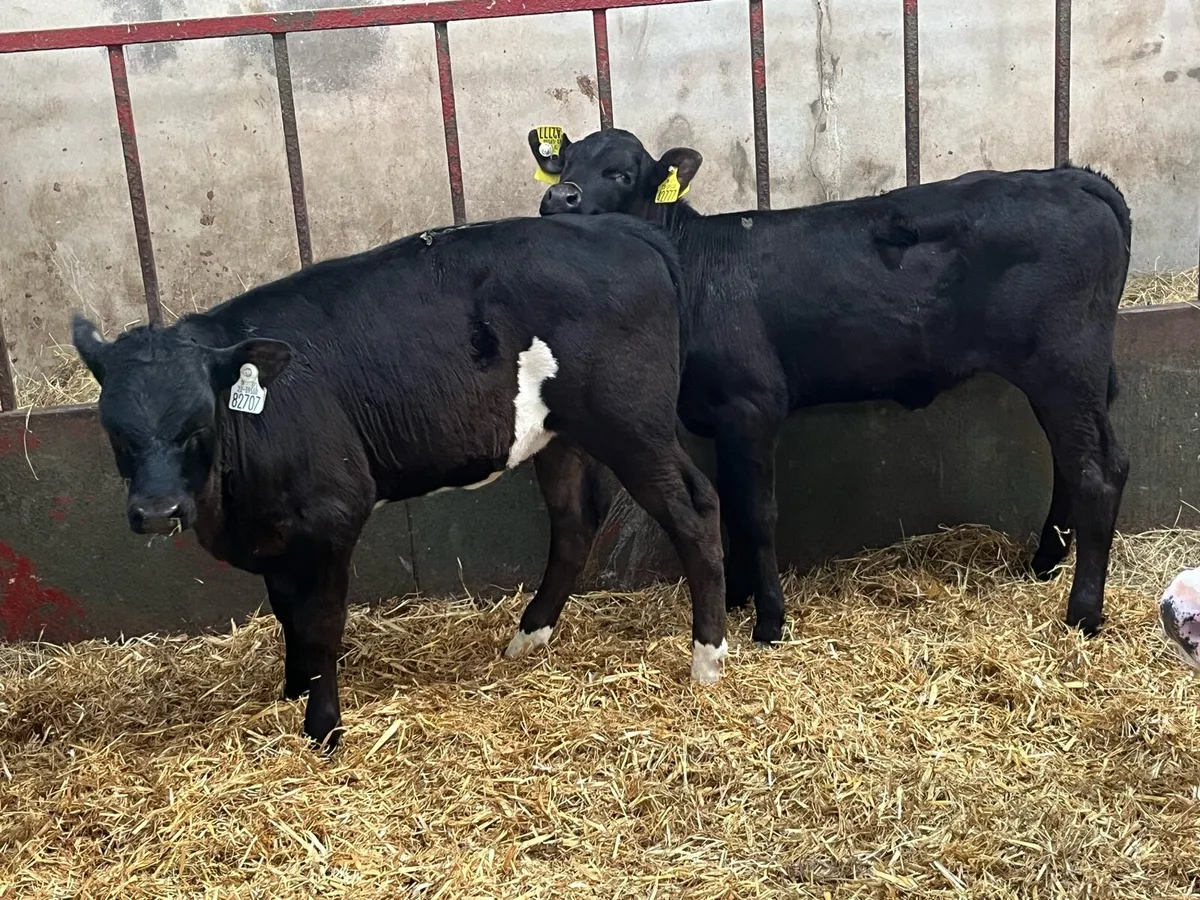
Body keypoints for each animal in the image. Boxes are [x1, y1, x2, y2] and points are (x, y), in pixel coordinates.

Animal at [71, 213, 728, 750]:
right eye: (115, 429)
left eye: (198, 422)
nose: (157, 512)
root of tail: (619, 228)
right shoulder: (280, 533)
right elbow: (287, 612)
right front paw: (291, 692)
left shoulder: (332, 514)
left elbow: (320, 621)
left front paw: (323, 727)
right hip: (563, 433)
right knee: (575, 522)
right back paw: (526, 640)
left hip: (631, 424)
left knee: (693, 510)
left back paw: (707, 658)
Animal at [523, 125, 1132, 649]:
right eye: (564, 163)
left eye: (621, 174)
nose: (559, 199)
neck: (693, 270)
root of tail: (1067, 177)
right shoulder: (720, 416)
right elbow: (730, 504)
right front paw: (736, 598)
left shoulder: (752, 406)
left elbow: (757, 513)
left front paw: (769, 621)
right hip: (1065, 376)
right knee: (1072, 464)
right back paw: (1043, 564)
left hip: (1064, 363)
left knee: (1097, 472)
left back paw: (1082, 612)